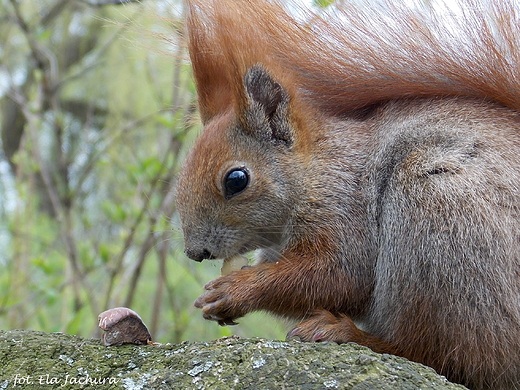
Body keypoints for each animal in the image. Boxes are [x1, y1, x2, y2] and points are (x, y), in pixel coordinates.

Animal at [176, 1, 520, 388]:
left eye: (236, 179)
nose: (196, 252)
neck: (314, 173)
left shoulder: (344, 208)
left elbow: (339, 274)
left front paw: (235, 290)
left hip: (441, 226)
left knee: (444, 355)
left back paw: (347, 334)